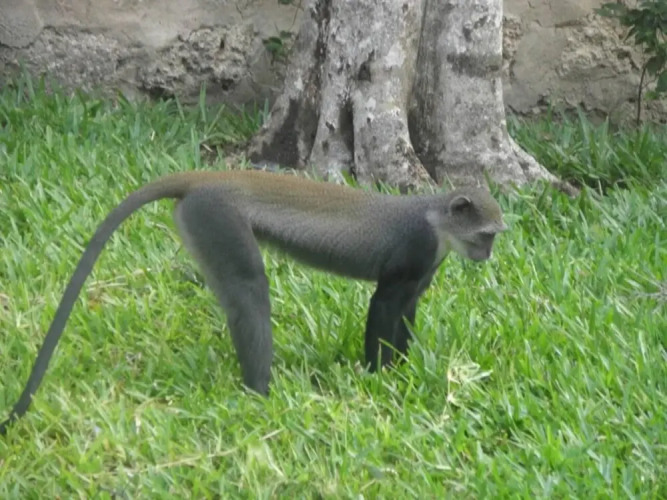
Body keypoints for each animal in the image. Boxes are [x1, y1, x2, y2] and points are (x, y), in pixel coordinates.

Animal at [0, 169, 507, 434]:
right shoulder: (415, 248)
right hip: (216, 218)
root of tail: (207, 177)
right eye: (486, 235)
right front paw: (382, 379)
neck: (436, 218)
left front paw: (405, 369)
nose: (487, 255)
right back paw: (259, 392)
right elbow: (385, 304)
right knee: (248, 289)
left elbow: (407, 308)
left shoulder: (426, 266)